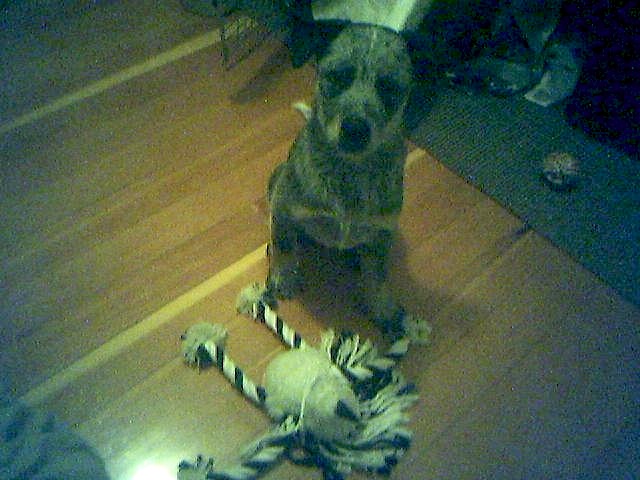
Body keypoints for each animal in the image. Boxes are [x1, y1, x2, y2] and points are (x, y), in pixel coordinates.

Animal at [265, 23, 430, 343]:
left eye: (389, 86)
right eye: (338, 76)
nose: (355, 130)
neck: (349, 173)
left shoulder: (382, 231)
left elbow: (378, 277)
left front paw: (383, 309)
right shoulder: (285, 206)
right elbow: (285, 247)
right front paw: (284, 276)